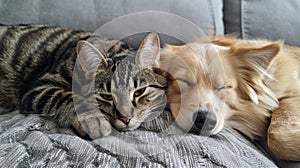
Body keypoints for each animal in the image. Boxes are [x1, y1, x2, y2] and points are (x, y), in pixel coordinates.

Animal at [0, 24, 166, 139]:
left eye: (140, 92)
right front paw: (93, 118)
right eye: (107, 96)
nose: (125, 118)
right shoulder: (38, 88)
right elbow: (68, 97)